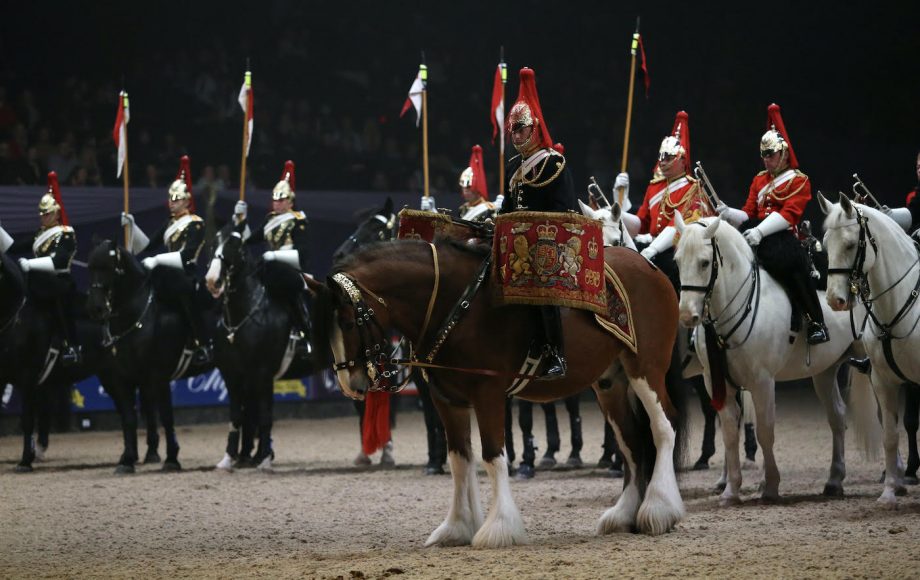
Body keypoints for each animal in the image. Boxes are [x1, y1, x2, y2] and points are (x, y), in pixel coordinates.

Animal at [85, 239, 213, 472]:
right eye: (90, 267)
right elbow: (129, 417)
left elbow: (166, 416)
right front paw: (127, 460)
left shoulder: (158, 376)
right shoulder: (121, 379)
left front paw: (171, 458)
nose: (95, 308)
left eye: (108, 268)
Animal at [206, 229, 318, 468]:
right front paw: (230, 458)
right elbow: (238, 417)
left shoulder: (263, 373)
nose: (212, 280)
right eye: (212, 244)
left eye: (236, 246)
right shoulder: (233, 376)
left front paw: (264, 458)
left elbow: (265, 416)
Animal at [308, 238, 684, 548]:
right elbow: (460, 460)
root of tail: (650, 266)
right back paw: (623, 514)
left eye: (348, 322)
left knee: (663, 427)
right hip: (610, 382)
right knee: (631, 441)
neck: (456, 306)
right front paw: (456, 527)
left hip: (645, 369)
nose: (351, 385)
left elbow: (493, 456)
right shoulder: (448, 402)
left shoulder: (487, 394)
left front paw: (499, 527)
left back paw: (659, 509)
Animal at [676, 213, 876, 502]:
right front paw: (731, 490)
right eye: (678, 261)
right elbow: (729, 433)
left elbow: (765, 431)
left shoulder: (762, 381)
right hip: (824, 371)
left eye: (704, 262)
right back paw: (834, 481)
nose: (686, 315)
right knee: (837, 417)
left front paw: (770, 485)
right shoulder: (716, 381)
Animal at [820, 193, 920, 506]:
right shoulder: (883, 380)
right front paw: (889, 492)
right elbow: (890, 435)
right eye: (826, 243)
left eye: (851, 244)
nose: (835, 300)